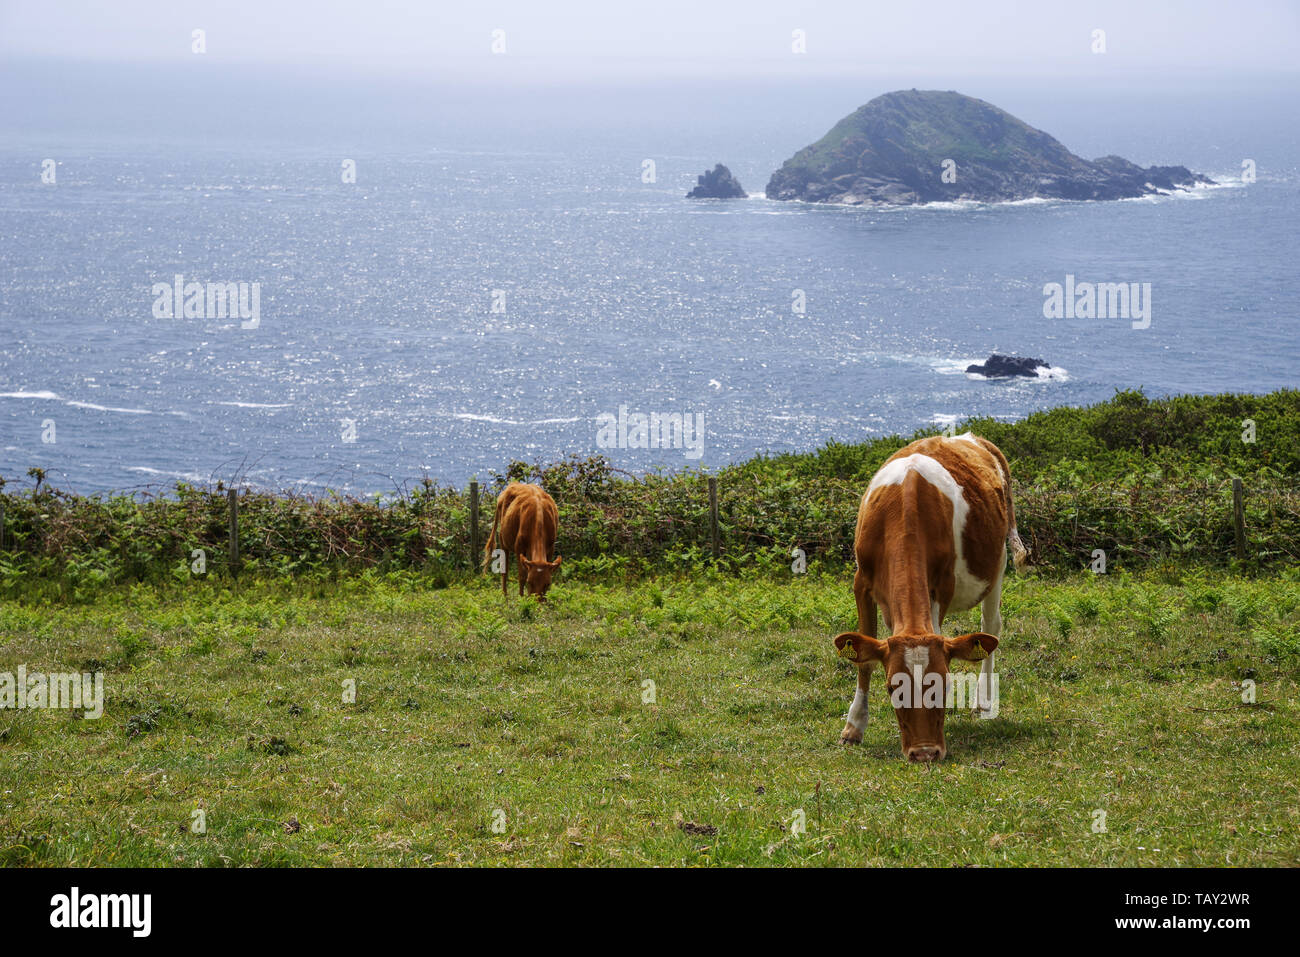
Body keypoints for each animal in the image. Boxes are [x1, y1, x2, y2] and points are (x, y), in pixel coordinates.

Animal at [832, 434, 1024, 764]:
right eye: (892, 688)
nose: (924, 753)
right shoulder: (861, 582)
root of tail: (969, 437)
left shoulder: (941, 587)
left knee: (991, 627)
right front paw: (854, 727)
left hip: (998, 562)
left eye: (944, 685)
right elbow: (864, 660)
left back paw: (984, 700)